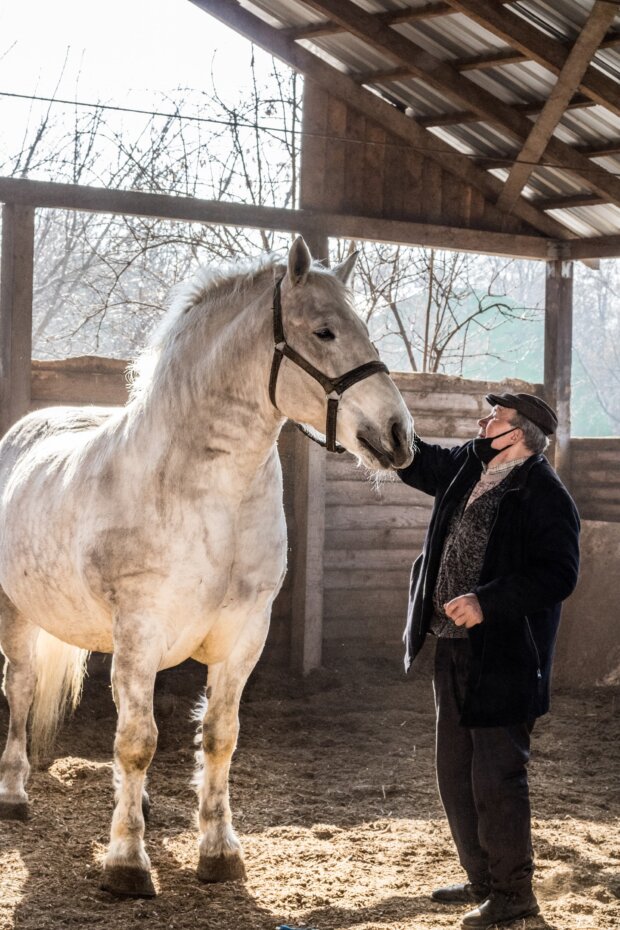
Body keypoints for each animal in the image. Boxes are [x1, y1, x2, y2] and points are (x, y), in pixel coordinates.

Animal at [1, 236, 416, 896]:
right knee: (21, 686)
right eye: (325, 331)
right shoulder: (140, 629)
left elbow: (218, 737)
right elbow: (137, 743)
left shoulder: (243, 632)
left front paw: (219, 853)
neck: (204, 491)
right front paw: (127, 864)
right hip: (17, 612)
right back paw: (14, 794)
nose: (400, 436)